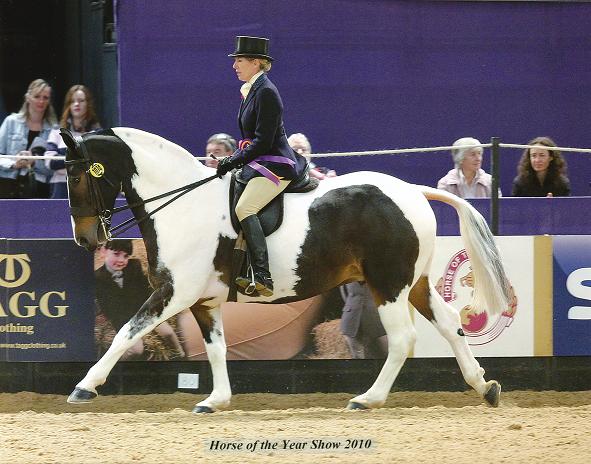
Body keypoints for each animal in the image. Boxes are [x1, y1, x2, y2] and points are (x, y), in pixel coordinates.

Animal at [61, 128, 512, 414]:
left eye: (76, 174)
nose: (85, 239)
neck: (183, 205)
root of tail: (412, 191)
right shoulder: (204, 300)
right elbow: (216, 348)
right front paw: (215, 400)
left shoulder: (175, 292)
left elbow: (125, 332)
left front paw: (84, 387)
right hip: (412, 282)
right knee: (450, 323)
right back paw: (484, 386)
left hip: (388, 285)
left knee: (402, 339)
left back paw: (367, 399)